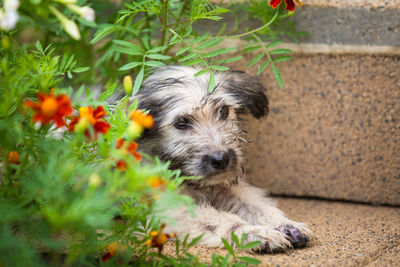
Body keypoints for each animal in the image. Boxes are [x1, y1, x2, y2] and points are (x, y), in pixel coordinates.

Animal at [136, 66, 310, 253]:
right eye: (181, 122)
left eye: (223, 111)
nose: (222, 159)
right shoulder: (172, 208)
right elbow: (222, 219)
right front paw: (254, 233)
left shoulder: (231, 191)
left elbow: (259, 207)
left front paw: (287, 225)